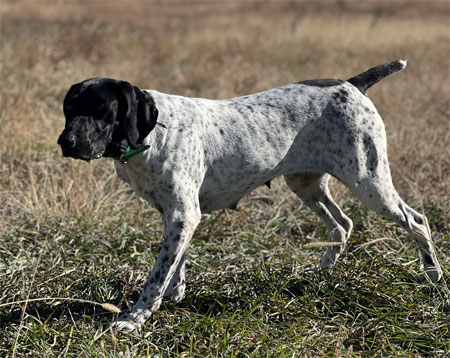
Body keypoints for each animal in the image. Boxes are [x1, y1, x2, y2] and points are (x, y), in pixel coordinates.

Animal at [57, 60, 442, 332]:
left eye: (101, 110)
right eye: (68, 109)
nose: (65, 142)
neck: (153, 135)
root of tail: (351, 84)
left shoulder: (184, 215)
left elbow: (156, 275)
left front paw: (136, 317)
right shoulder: (177, 217)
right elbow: (174, 265)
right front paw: (175, 294)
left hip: (370, 183)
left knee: (417, 221)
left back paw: (433, 276)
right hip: (306, 183)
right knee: (342, 224)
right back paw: (320, 274)